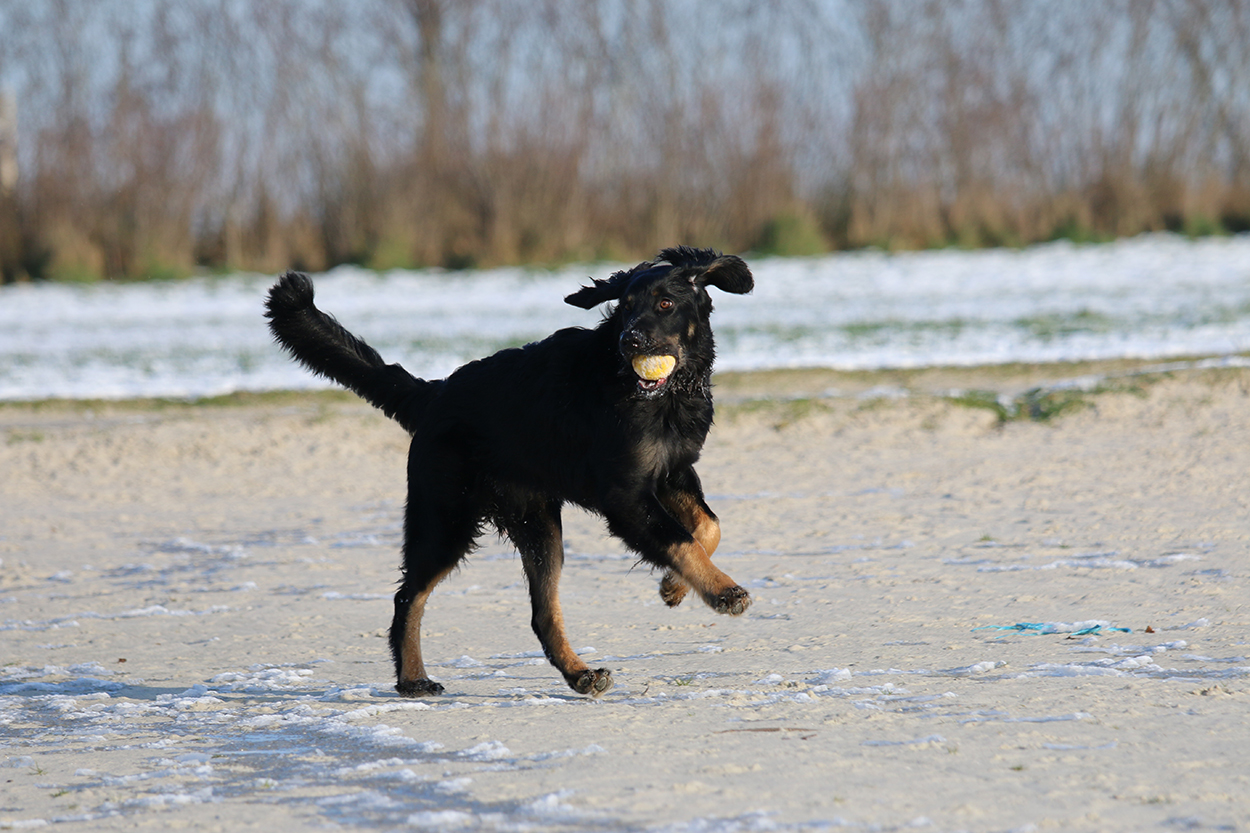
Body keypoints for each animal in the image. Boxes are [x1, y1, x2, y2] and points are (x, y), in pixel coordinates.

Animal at [264, 246, 753, 697]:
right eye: (626, 307)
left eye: (665, 304)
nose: (629, 341)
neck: (660, 395)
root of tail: (434, 394)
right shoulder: (625, 495)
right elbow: (680, 539)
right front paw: (723, 591)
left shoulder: (672, 473)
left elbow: (707, 526)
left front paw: (674, 586)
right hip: (446, 519)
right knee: (408, 597)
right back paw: (413, 678)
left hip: (536, 525)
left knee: (541, 614)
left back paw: (579, 674)